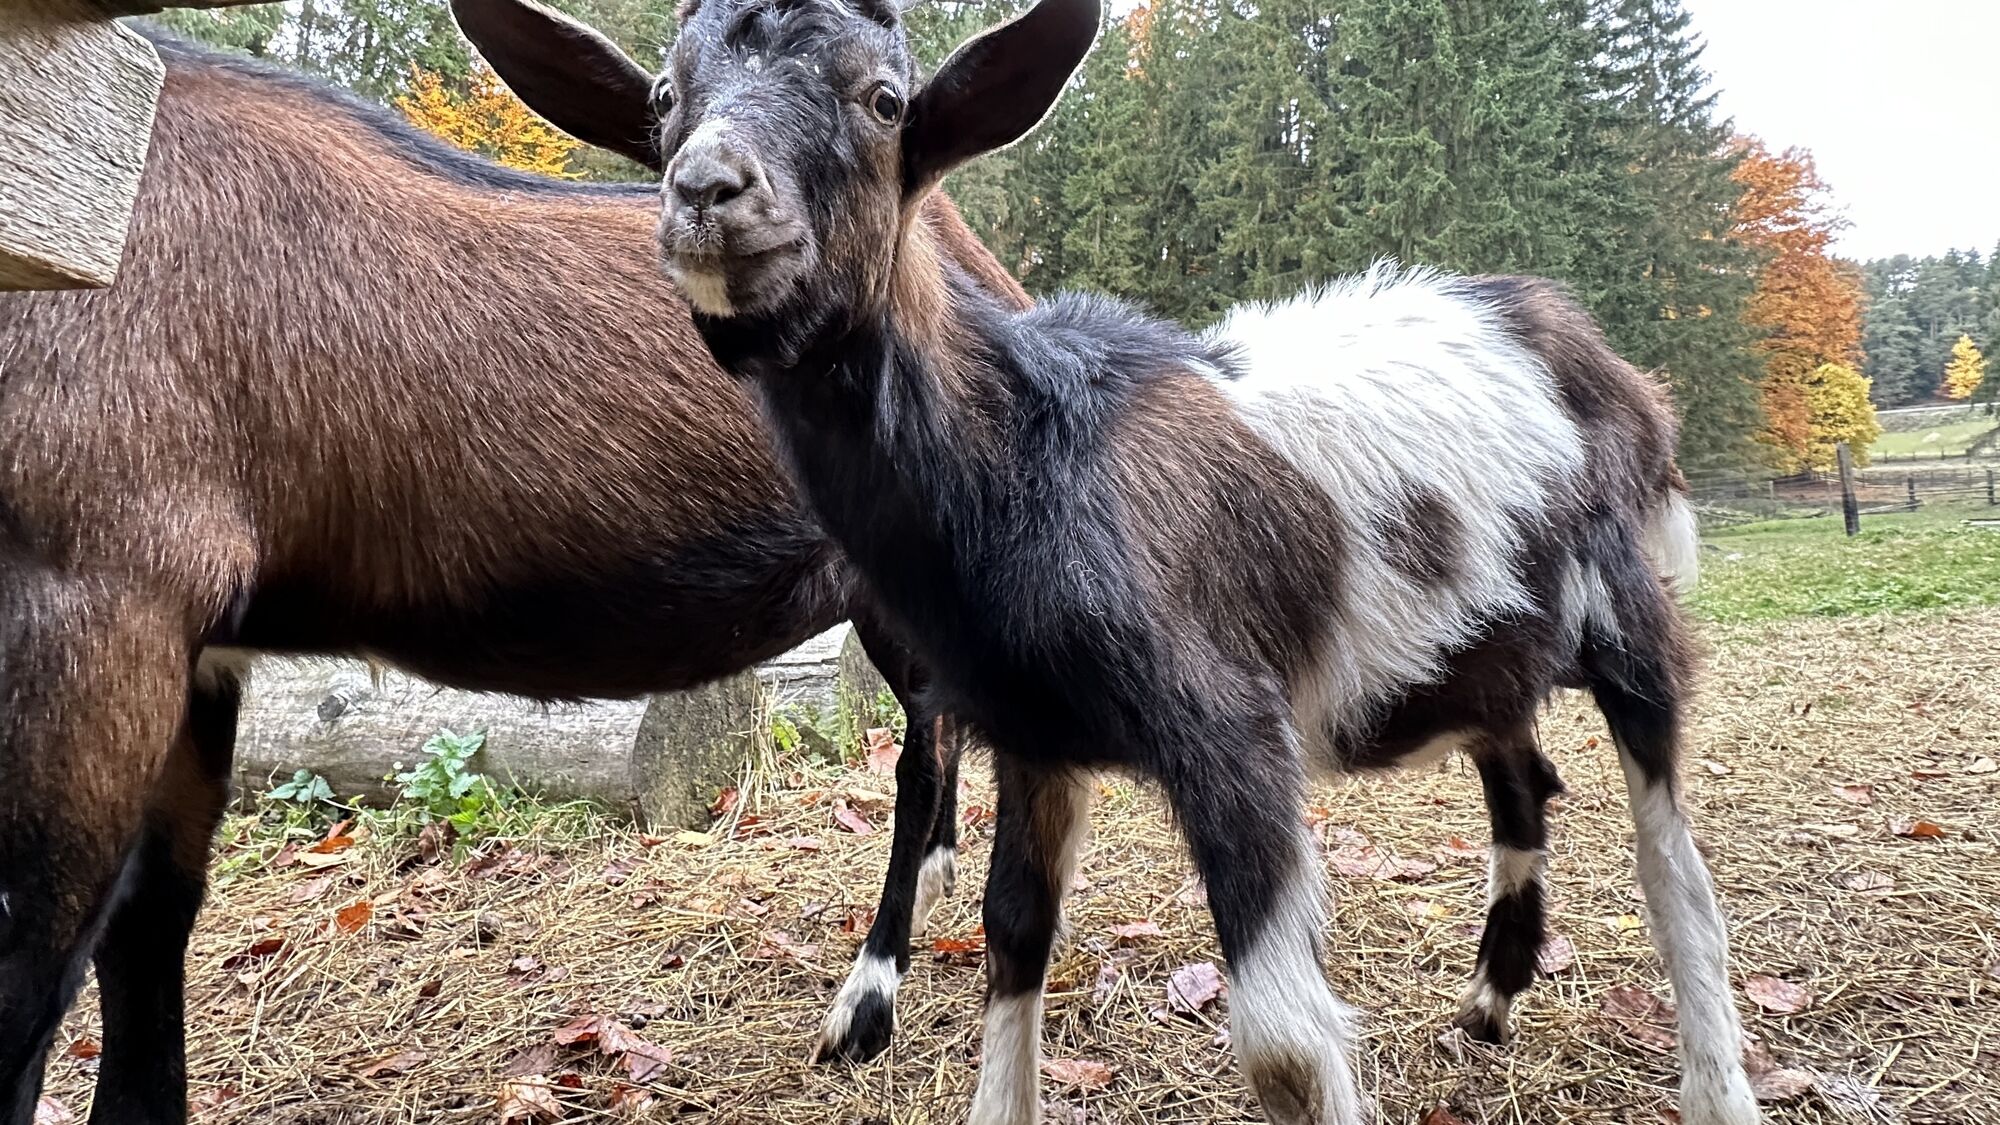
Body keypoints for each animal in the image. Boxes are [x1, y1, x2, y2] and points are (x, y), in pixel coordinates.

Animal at [0, 2, 1026, 1118]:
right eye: (661, 94)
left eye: (881, 97)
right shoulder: (189, 650)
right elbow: (147, 930)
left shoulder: (101, 588)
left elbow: (37, 975)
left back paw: (867, 1001)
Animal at [515, 0, 1767, 1119]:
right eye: (662, 101)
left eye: (882, 102)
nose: (707, 193)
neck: (1026, 455)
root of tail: (1594, 350)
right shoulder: (1029, 735)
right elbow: (1012, 941)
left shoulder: (1230, 730)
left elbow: (1285, 1049)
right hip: (1471, 653)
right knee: (1522, 776)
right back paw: (1491, 999)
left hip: (1627, 612)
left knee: (1671, 859)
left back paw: (1713, 1085)